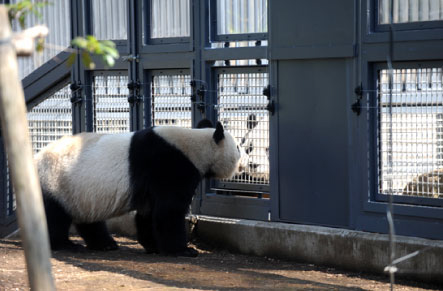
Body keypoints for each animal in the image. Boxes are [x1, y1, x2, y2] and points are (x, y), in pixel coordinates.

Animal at [36, 119, 246, 258]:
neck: (195, 145)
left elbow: (149, 213)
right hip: (55, 181)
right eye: (237, 146)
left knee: (88, 218)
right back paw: (65, 244)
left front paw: (153, 246)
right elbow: (169, 211)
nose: (244, 164)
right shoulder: (170, 164)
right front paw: (184, 250)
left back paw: (105, 244)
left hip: (80, 191)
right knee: (53, 216)